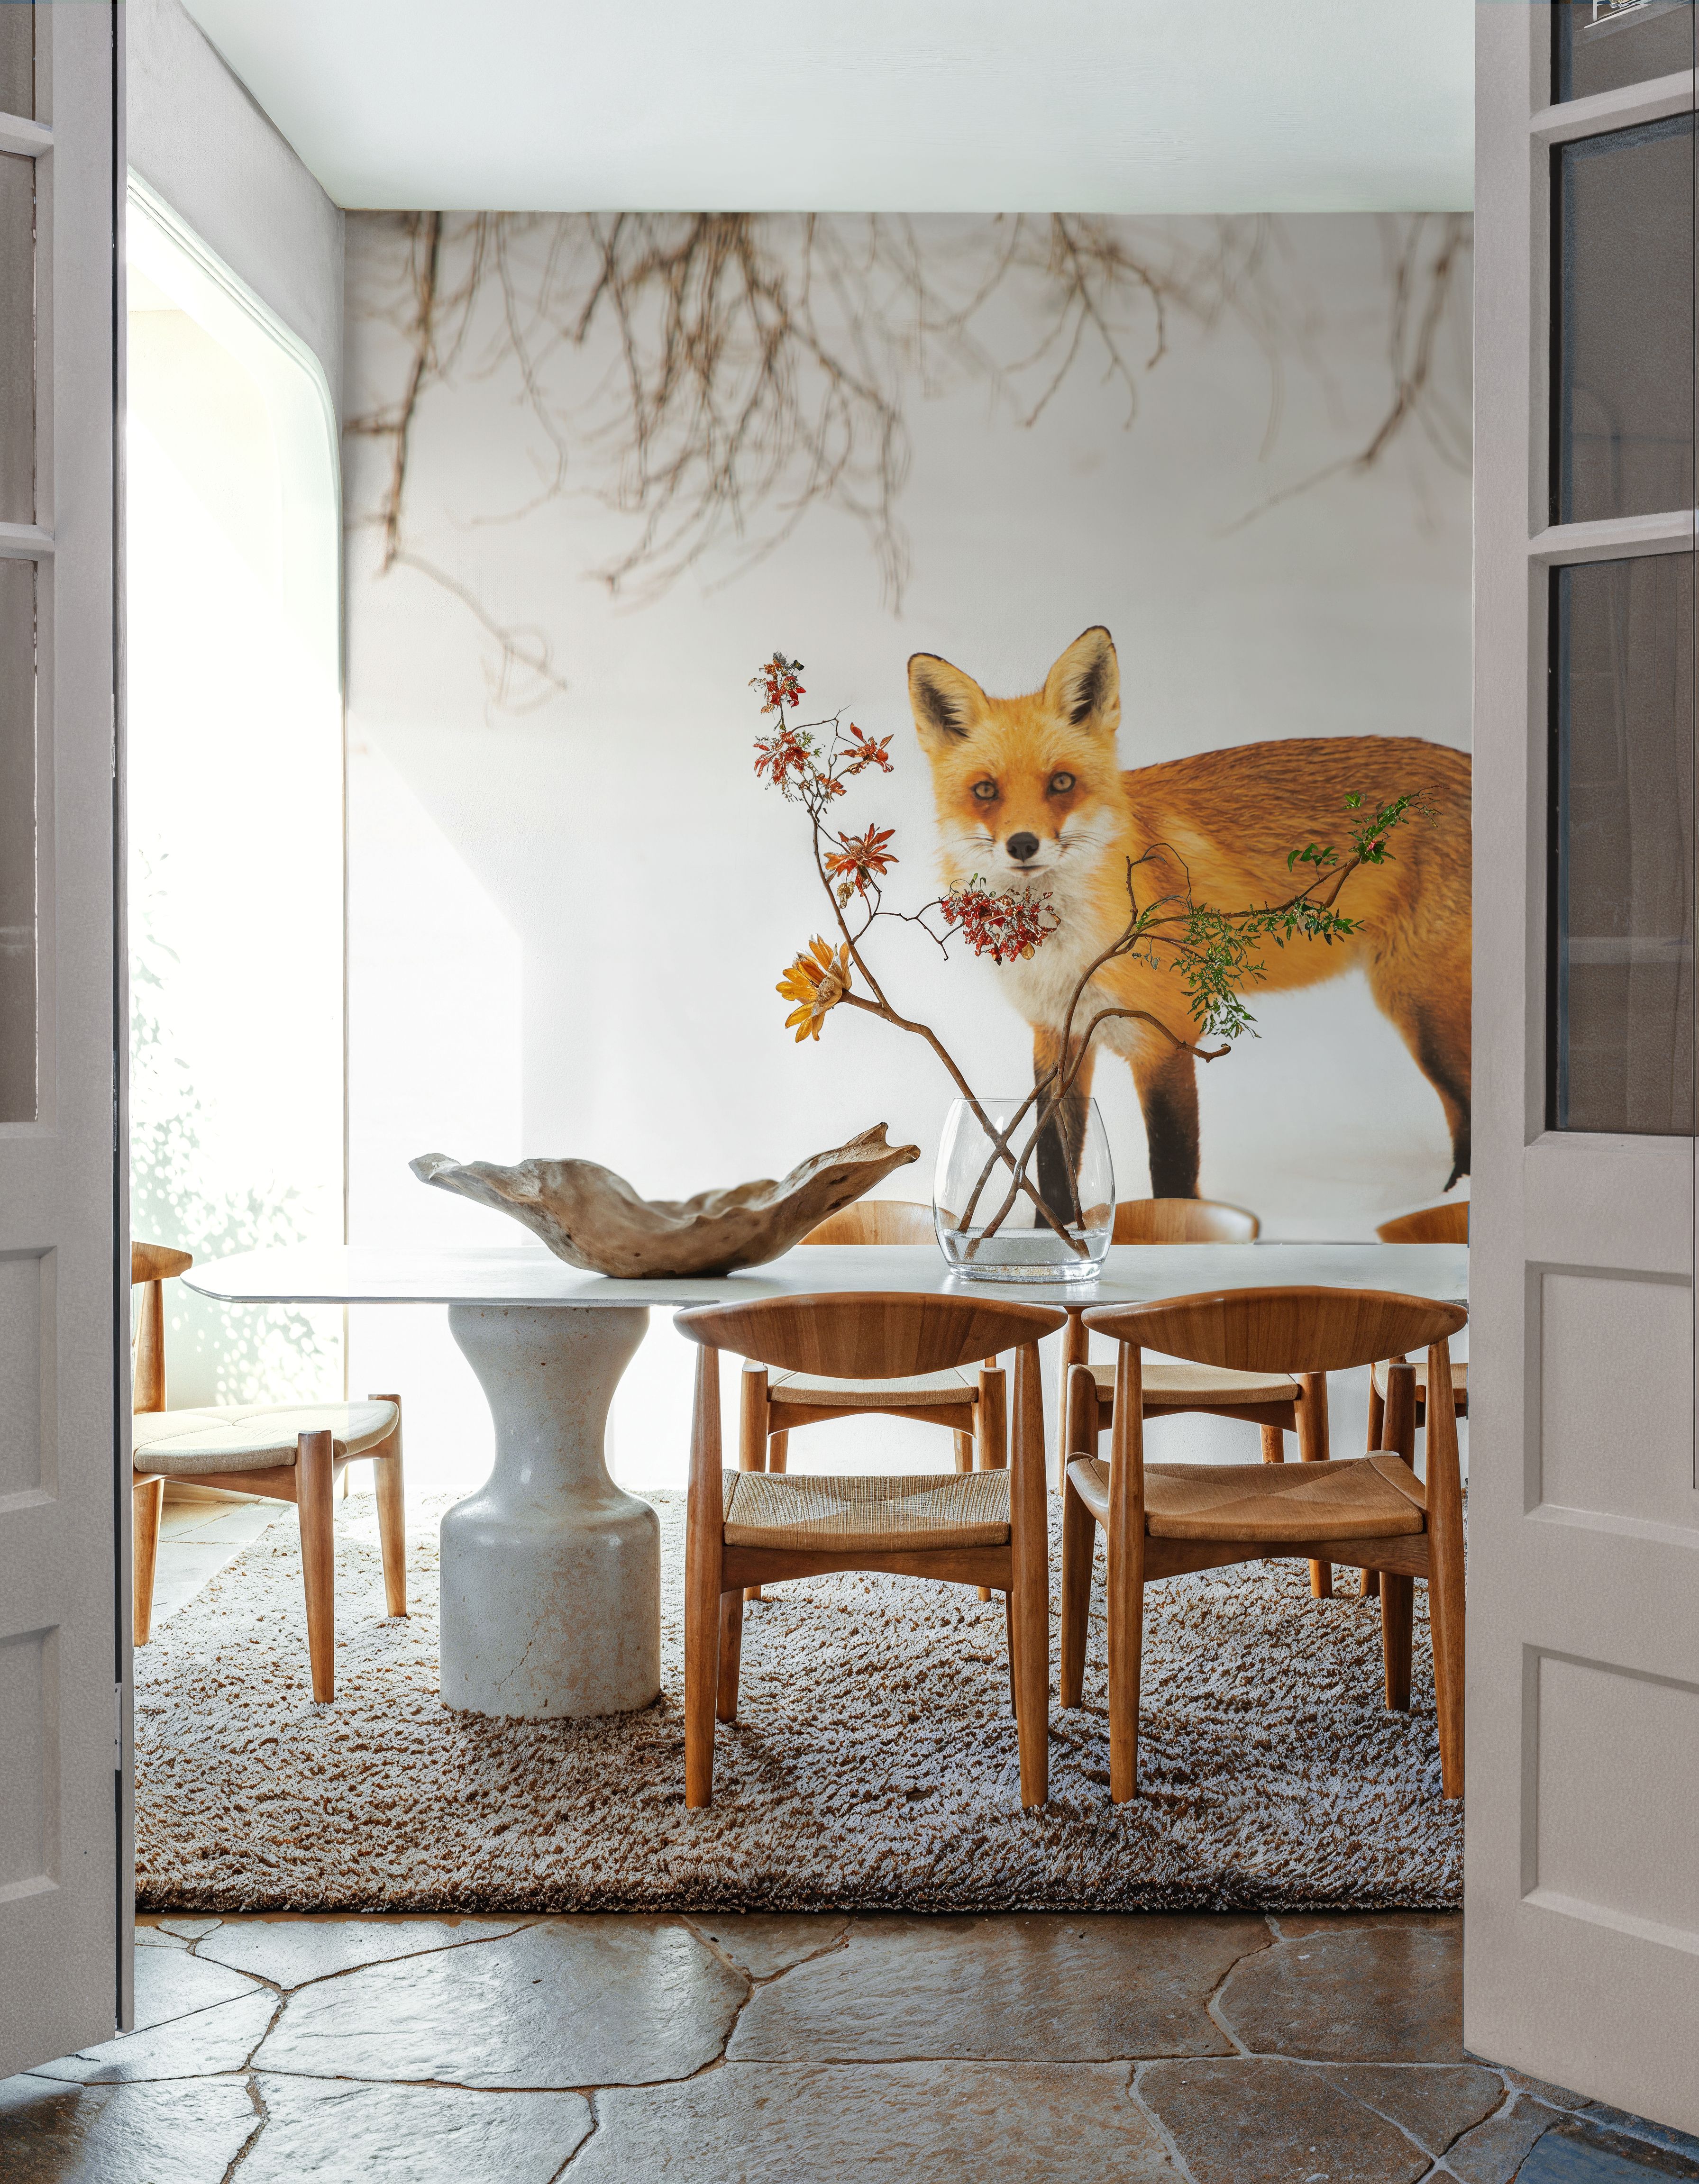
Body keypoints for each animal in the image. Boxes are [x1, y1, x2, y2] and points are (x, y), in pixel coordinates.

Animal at [908, 625, 1472, 1205]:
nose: (1022, 844)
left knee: (1468, 1110)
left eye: (1061, 783)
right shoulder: (1057, 1040)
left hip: (1419, 1008)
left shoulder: (1165, 1041)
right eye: (985, 791)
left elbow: (1173, 1176)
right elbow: (1053, 1175)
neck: (1066, 957)